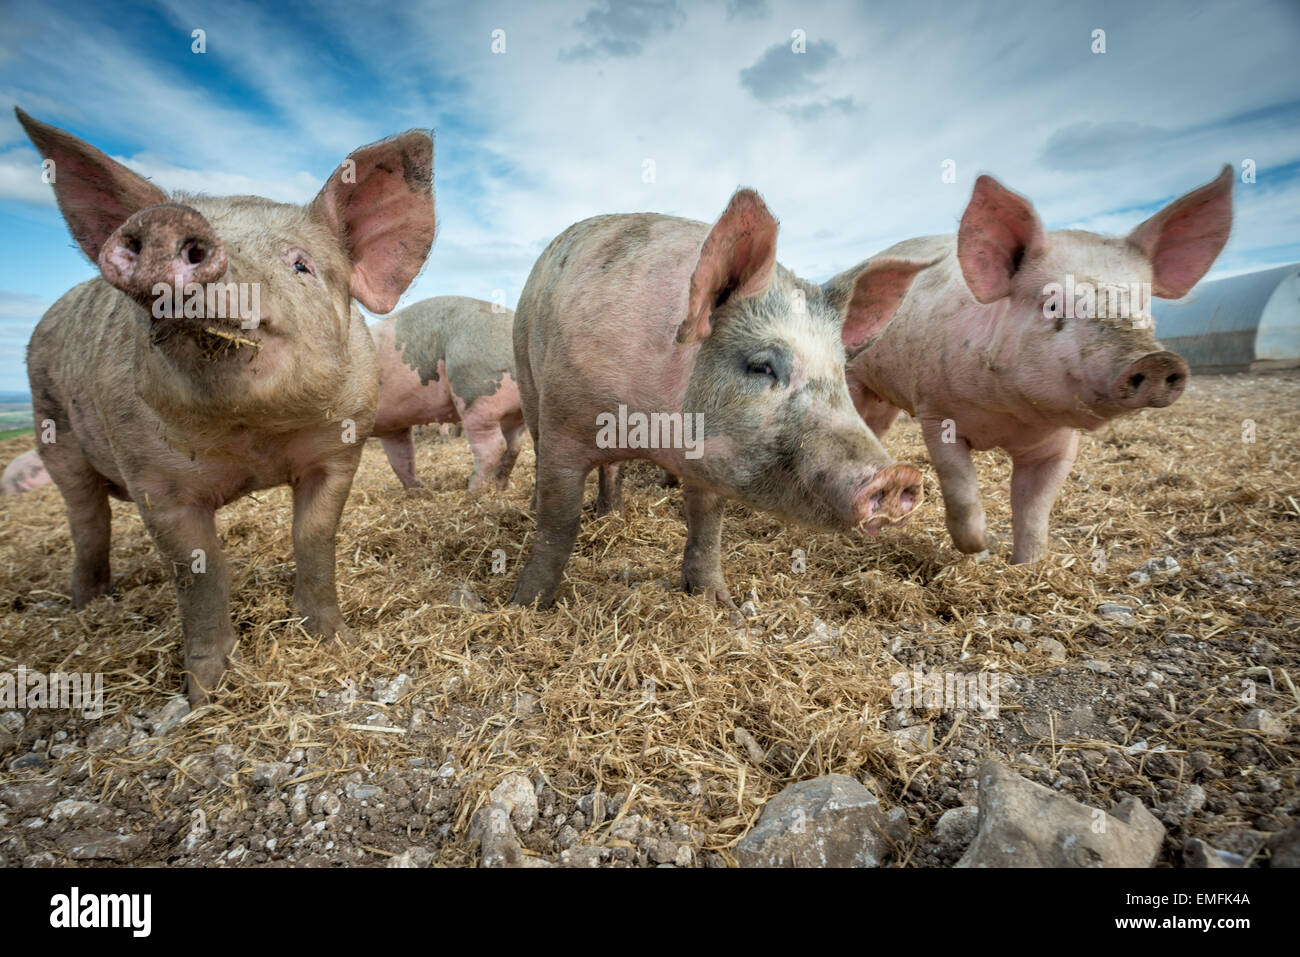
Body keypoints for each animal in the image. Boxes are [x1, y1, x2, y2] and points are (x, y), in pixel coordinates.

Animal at [16, 108, 436, 702]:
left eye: (301, 265)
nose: (167, 222)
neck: (252, 439)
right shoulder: (153, 480)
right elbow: (199, 571)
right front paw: (204, 692)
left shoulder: (340, 449)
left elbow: (314, 538)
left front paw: (333, 639)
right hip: (51, 428)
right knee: (87, 520)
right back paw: (89, 604)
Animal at [369, 297, 525, 494]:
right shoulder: (393, 427)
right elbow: (401, 458)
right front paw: (418, 492)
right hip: (515, 413)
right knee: (514, 446)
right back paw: (499, 487)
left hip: (475, 393)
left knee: (493, 446)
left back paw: (472, 492)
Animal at [826, 167, 1232, 564]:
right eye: (1051, 304)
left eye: (1143, 304)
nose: (1156, 359)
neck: (1009, 418)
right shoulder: (936, 413)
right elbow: (962, 494)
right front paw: (983, 548)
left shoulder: (1059, 443)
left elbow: (1034, 508)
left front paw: (1028, 565)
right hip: (855, 381)